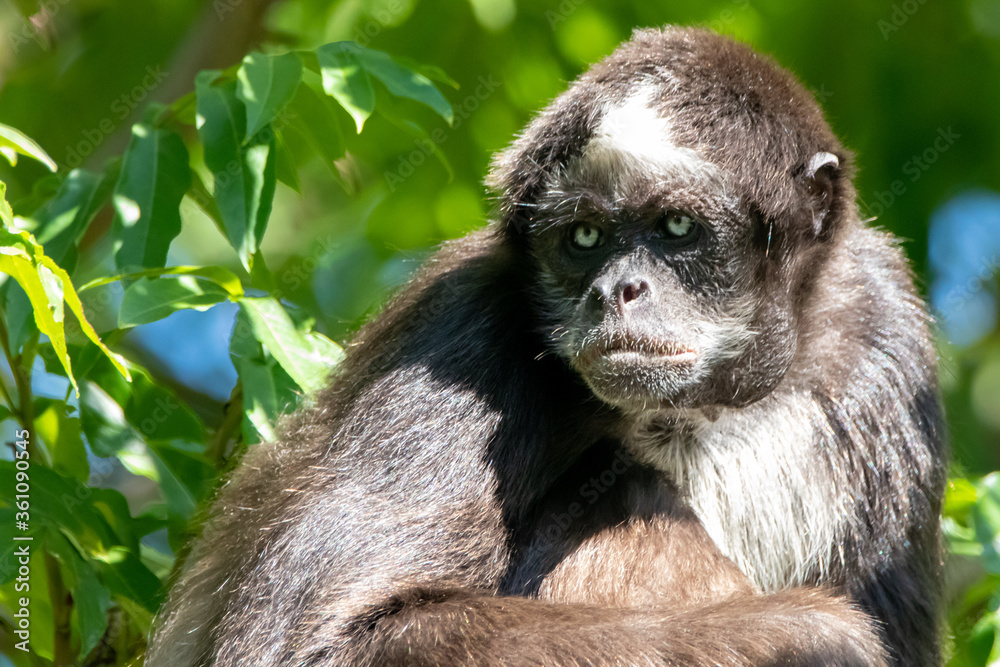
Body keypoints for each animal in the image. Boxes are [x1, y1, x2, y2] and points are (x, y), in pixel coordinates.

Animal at [145, 26, 945, 666]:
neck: (711, 407)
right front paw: (820, 634)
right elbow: (317, 643)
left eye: (678, 229)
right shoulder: (466, 322)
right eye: (584, 238)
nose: (615, 290)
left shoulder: (882, 325)